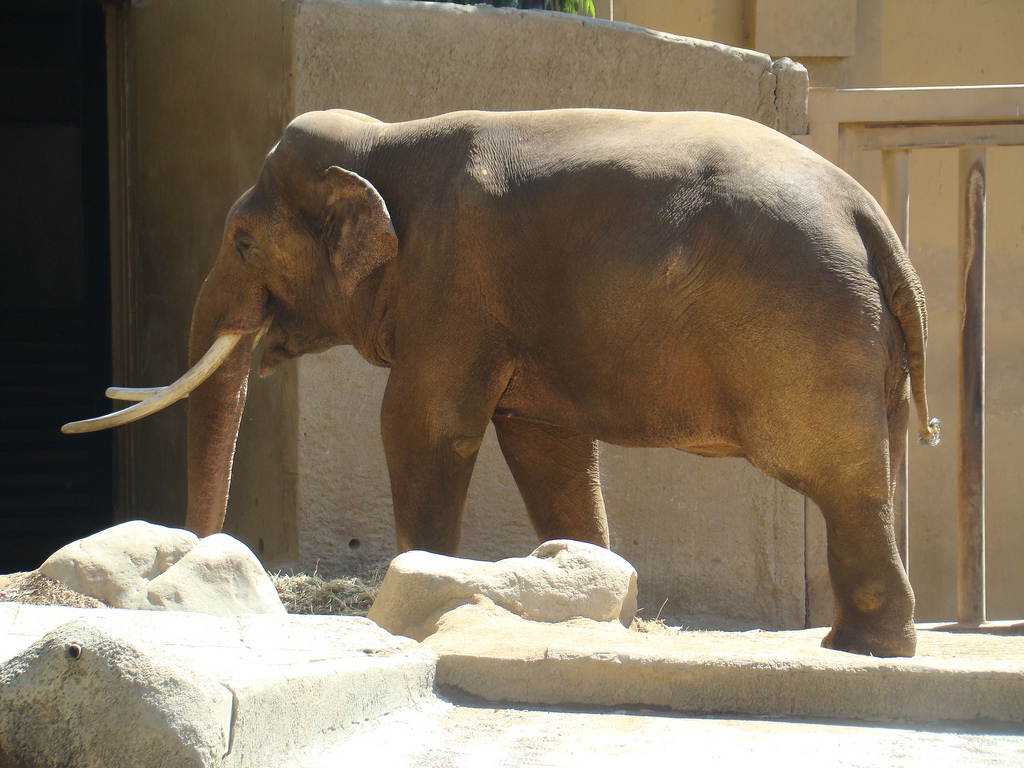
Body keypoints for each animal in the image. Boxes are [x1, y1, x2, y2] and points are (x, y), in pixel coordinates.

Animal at [64, 107, 939, 657]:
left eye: (244, 242)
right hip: (866, 338)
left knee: (840, 481)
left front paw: (409, 601)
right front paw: (594, 591)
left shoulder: (452, 280)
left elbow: (423, 423)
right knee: (880, 473)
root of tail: (869, 213)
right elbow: (545, 446)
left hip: (805, 326)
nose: (195, 547)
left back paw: (862, 649)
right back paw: (872, 643)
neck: (386, 141)